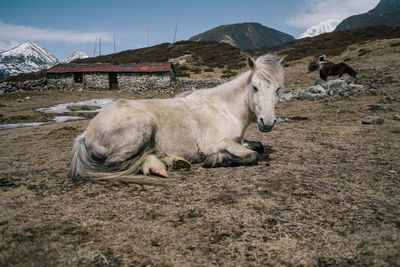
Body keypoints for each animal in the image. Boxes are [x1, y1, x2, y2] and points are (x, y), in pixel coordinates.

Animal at [70, 54, 286, 184]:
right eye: (255, 87)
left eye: (277, 89)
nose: (267, 122)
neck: (224, 108)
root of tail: (86, 133)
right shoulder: (217, 143)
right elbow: (253, 155)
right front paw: (215, 160)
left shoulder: (238, 140)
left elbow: (258, 146)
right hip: (142, 126)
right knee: (115, 163)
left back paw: (170, 162)